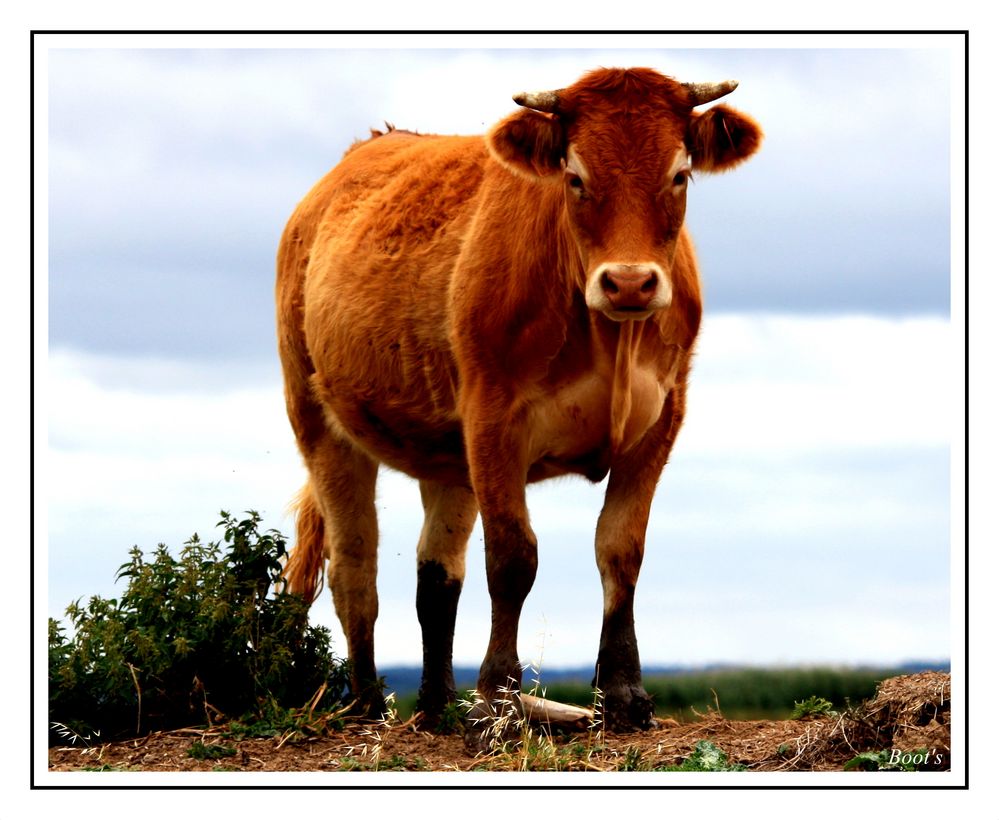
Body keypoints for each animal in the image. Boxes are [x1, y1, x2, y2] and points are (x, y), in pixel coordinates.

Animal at [278, 65, 760, 744]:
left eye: (680, 174)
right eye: (575, 177)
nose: (630, 283)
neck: (609, 335)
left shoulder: (661, 421)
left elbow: (621, 550)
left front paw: (623, 695)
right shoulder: (494, 419)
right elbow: (513, 558)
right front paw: (499, 700)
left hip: (446, 452)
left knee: (437, 573)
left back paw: (436, 706)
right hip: (319, 420)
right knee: (354, 565)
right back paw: (369, 703)